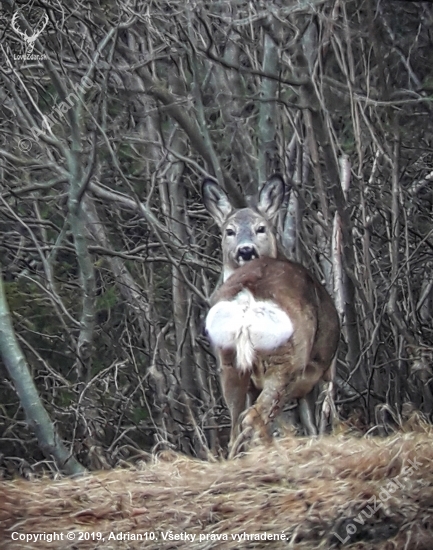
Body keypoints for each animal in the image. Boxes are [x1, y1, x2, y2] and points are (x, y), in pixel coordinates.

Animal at [203, 176, 340, 458]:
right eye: (229, 231)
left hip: (229, 362)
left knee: (235, 422)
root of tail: (247, 297)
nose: (245, 250)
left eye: (261, 228)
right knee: (255, 416)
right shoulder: (323, 369)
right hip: (287, 359)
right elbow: (319, 416)